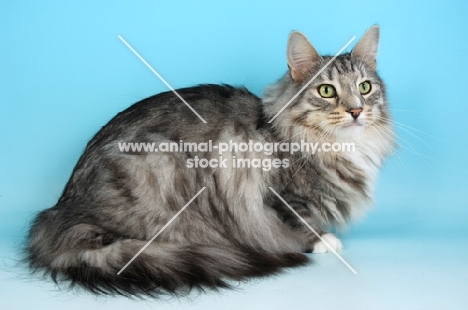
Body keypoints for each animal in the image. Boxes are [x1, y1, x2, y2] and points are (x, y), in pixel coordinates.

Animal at [26, 25, 394, 296]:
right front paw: (323, 241)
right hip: (161, 165)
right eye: (327, 91)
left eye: (364, 87)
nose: (356, 111)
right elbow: (300, 223)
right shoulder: (279, 198)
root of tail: (59, 211)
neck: (336, 145)